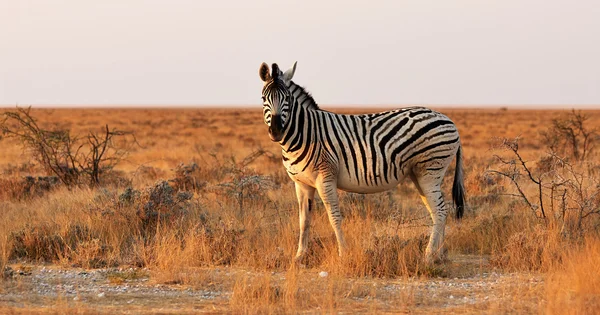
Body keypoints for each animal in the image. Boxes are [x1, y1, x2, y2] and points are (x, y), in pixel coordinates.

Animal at [258, 61, 464, 264]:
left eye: (287, 98)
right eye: (263, 98)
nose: (276, 131)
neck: (306, 133)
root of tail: (448, 119)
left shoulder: (325, 178)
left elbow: (334, 217)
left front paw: (343, 254)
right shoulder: (301, 184)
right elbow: (304, 220)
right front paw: (299, 256)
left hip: (430, 170)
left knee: (440, 210)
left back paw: (428, 256)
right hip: (419, 175)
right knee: (438, 212)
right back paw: (439, 254)